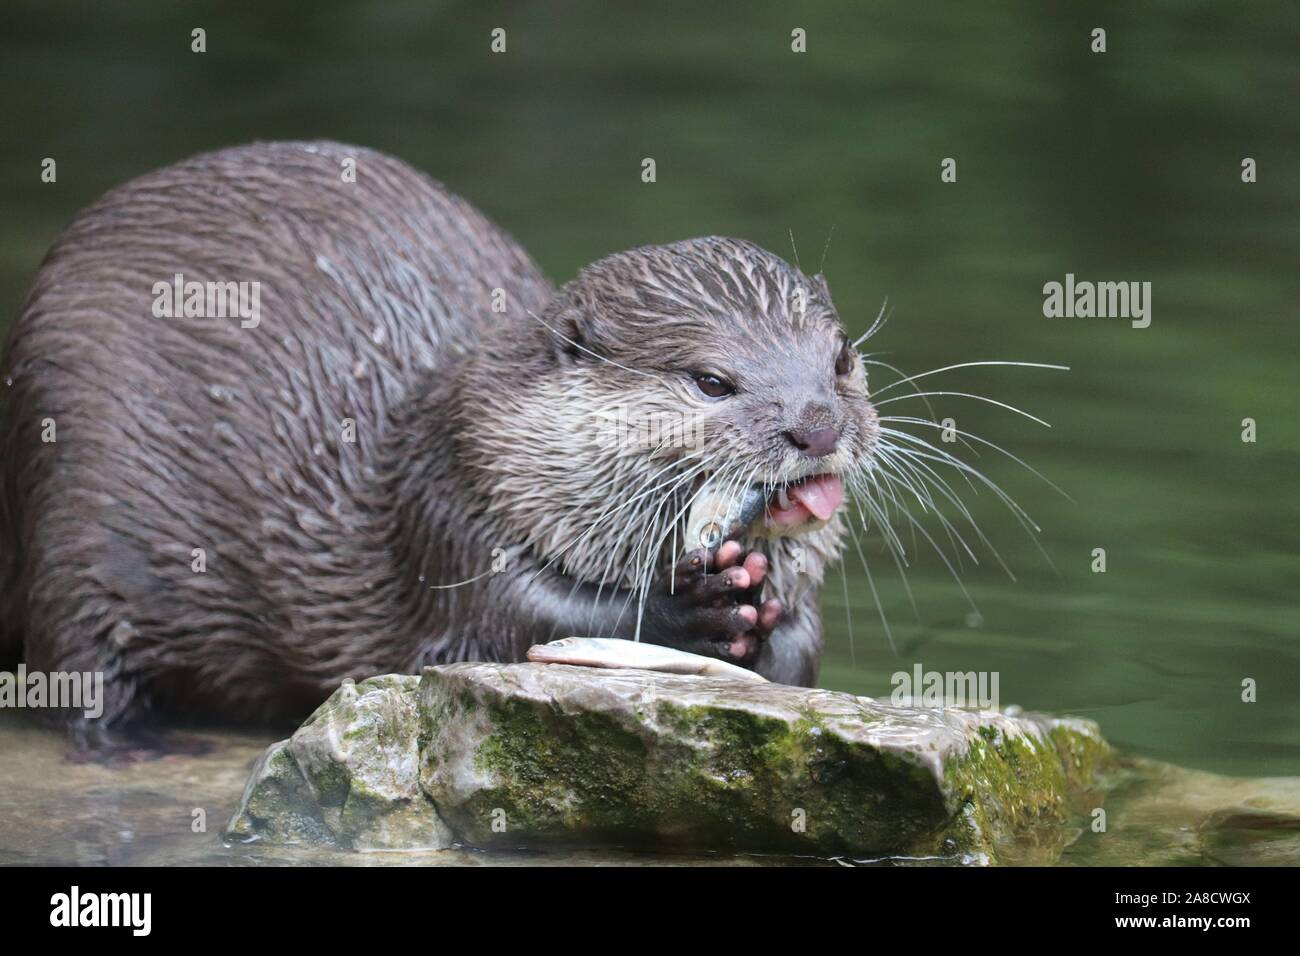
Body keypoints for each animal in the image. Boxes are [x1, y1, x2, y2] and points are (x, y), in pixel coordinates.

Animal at [0, 141, 877, 739]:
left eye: (839, 357)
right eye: (711, 381)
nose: (817, 425)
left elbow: (804, 650)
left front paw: (762, 615)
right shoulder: (449, 504)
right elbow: (513, 620)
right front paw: (690, 607)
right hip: (65, 508)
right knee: (79, 679)